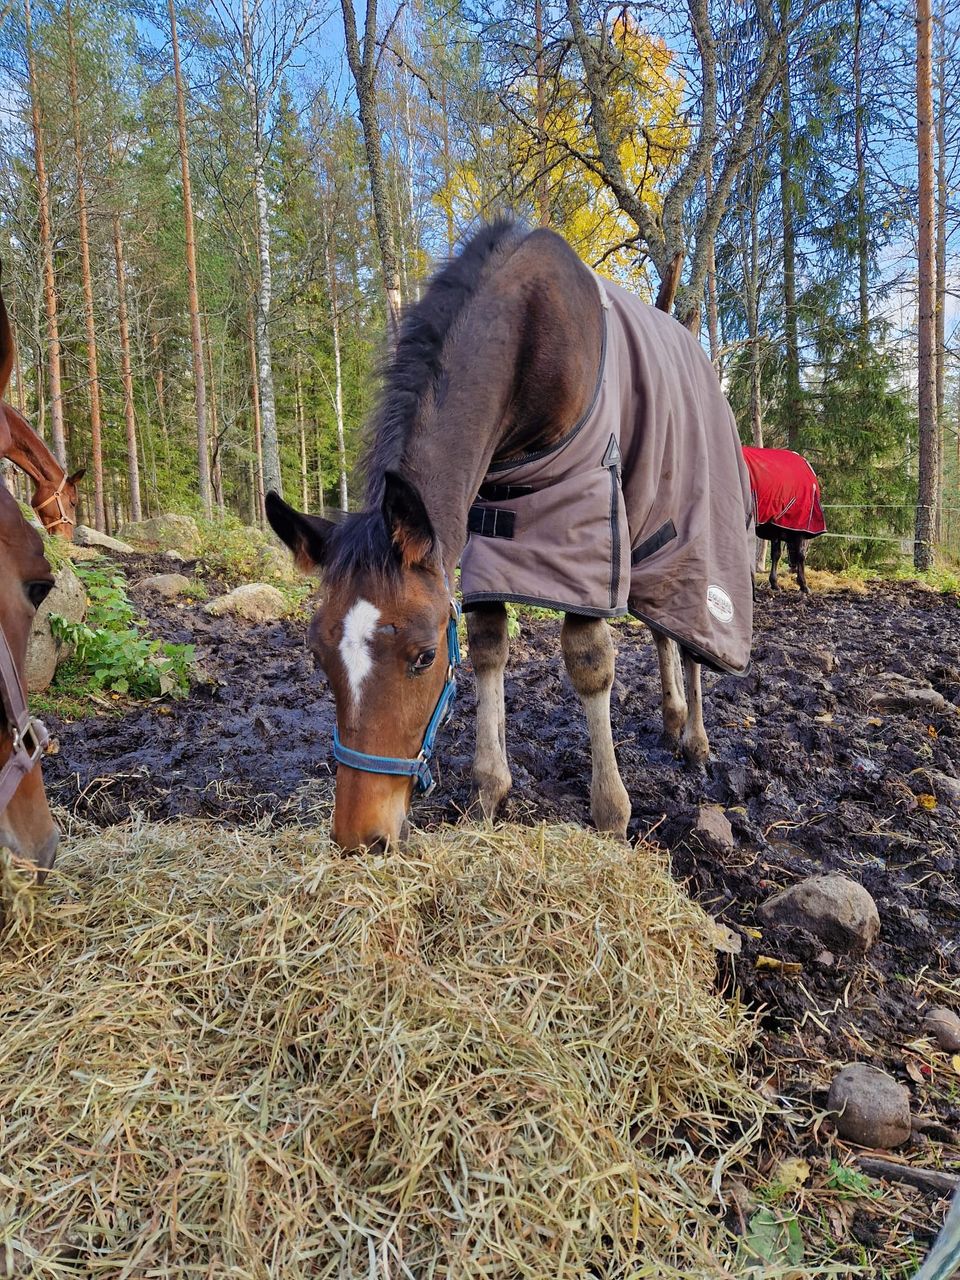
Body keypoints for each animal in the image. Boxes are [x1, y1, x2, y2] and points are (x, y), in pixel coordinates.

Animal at [267, 222, 757, 849]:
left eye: (424, 657)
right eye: (317, 654)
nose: (361, 837)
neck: (529, 334)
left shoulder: (586, 521)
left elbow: (589, 661)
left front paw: (610, 816)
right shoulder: (488, 536)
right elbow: (488, 646)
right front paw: (489, 794)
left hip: (694, 522)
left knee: (694, 632)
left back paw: (694, 740)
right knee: (662, 624)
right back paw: (672, 720)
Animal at [742, 445, 829, 593]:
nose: (792, 566)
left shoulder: (776, 527)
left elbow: (776, 554)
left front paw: (774, 583)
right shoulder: (800, 528)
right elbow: (801, 554)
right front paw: (803, 584)